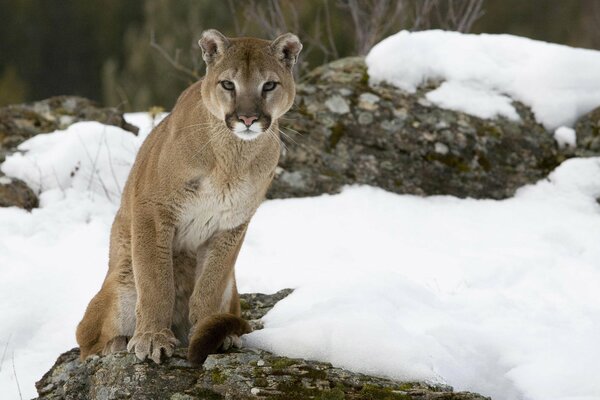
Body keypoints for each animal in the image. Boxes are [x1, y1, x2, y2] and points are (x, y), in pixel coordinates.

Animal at [77, 28, 302, 366]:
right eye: (228, 84)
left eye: (269, 85)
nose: (247, 118)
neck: (231, 158)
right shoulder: (153, 210)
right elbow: (157, 280)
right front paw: (152, 338)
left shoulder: (231, 225)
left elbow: (210, 283)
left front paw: (208, 328)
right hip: (122, 281)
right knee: (85, 341)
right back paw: (119, 343)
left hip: (231, 290)